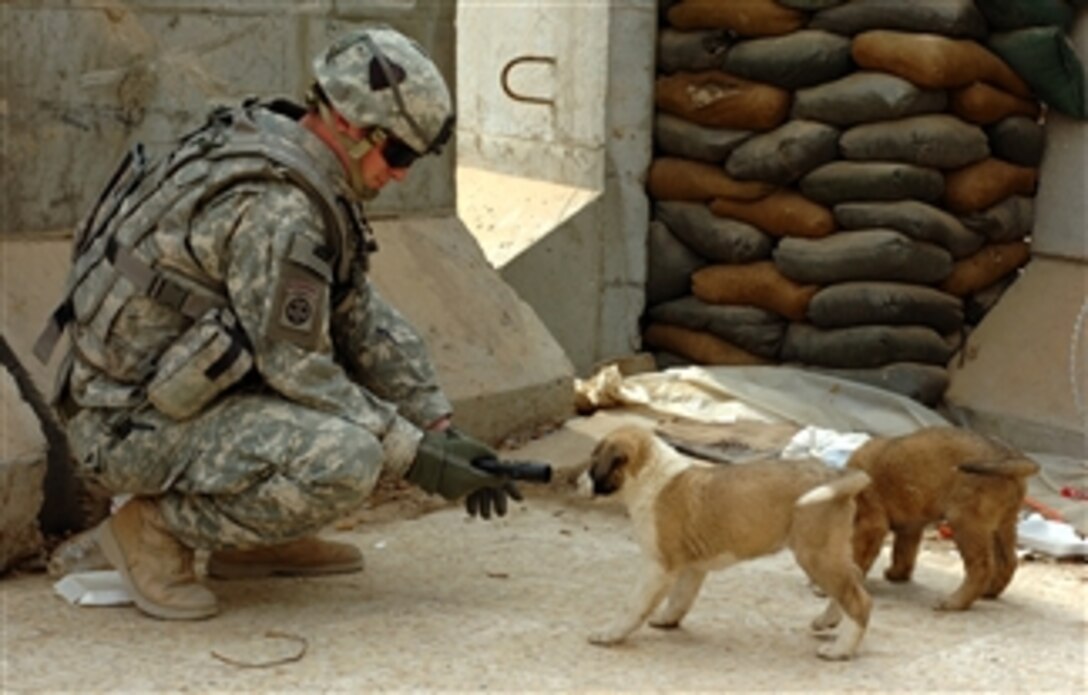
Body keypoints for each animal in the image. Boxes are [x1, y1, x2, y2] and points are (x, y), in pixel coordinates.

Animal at [583, 424, 870, 661]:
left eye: (593, 464)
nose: (578, 480)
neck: (651, 474)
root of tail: (834, 474)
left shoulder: (658, 567)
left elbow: (633, 605)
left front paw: (610, 634)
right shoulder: (692, 566)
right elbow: (680, 598)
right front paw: (667, 620)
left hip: (814, 554)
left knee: (859, 600)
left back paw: (840, 650)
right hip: (829, 552)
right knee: (853, 579)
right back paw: (827, 621)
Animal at [844, 426, 1040, 613]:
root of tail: (1012, 455)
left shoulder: (870, 523)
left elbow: (858, 556)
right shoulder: (910, 526)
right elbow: (902, 551)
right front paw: (897, 574)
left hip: (965, 521)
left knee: (982, 567)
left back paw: (955, 603)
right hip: (1002, 525)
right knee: (1009, 561)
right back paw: (988, 592)